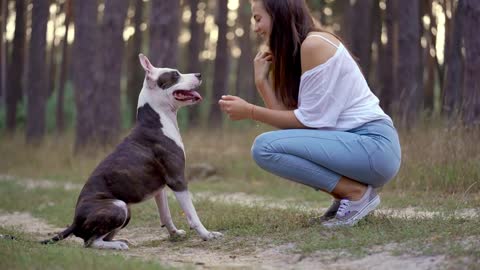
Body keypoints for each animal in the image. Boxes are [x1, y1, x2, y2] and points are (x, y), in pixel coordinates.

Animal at [41, 53, 221, 250]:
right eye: (175, 75)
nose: (199, 74)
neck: (157, 120)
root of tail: (74, 222)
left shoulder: (160, 188)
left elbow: (165, 214)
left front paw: (175, 234)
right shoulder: (177, 180)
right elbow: (193, 214)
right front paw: (207, 234)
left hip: (126, 211)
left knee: (100, 237)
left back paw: (119, 241)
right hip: (119, 205)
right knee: (91, 242)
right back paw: (117, 245)